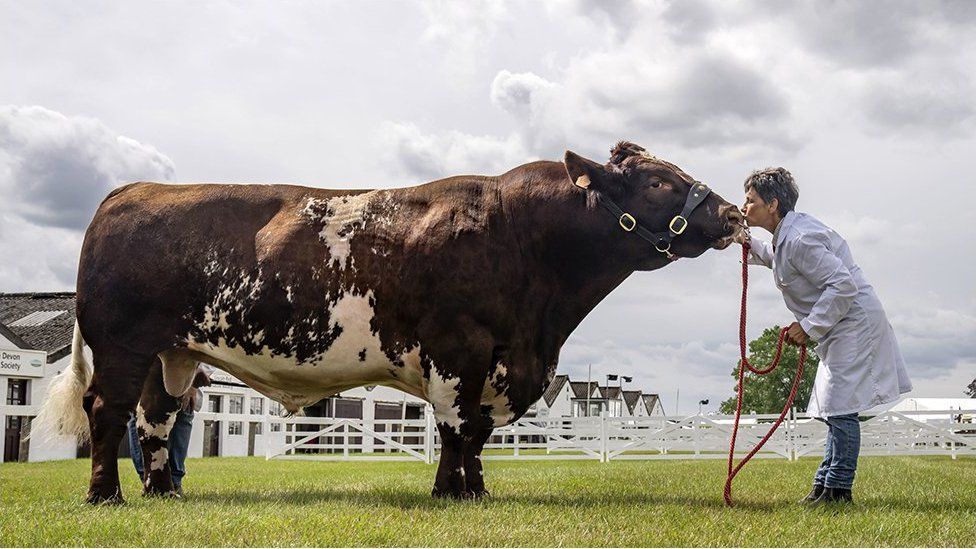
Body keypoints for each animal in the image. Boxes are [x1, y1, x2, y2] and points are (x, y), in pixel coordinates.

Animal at [34, 141, 744, 500]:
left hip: (171, 354)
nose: (732, 212)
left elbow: (476, 433)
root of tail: (131, 192)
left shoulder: (499, 360)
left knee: (155, 420)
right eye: (658, 184)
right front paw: (454, 494)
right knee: (108, 413)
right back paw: (106, 495)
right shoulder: (461, 348)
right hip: (123, 344)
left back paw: (163, 492)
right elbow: (458, 428)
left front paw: (473, 491)